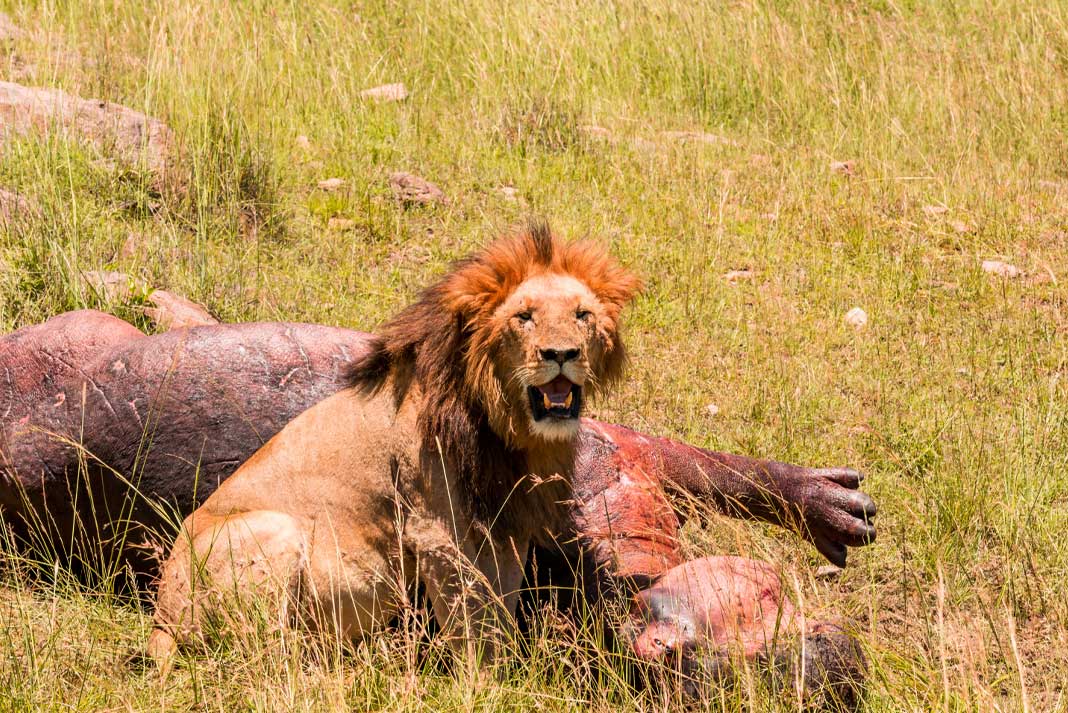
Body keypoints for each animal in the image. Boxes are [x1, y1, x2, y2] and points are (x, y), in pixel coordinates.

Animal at [147, 221, 642, 668]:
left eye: (582, 315)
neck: (509, 430)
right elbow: (472, 622)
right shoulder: (438, 531)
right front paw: (486, 683)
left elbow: (501, 604)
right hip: (273, 532)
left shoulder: (506, 525)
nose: (561, 354)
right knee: (261, 656)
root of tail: (160, 618)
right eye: (524, 317)